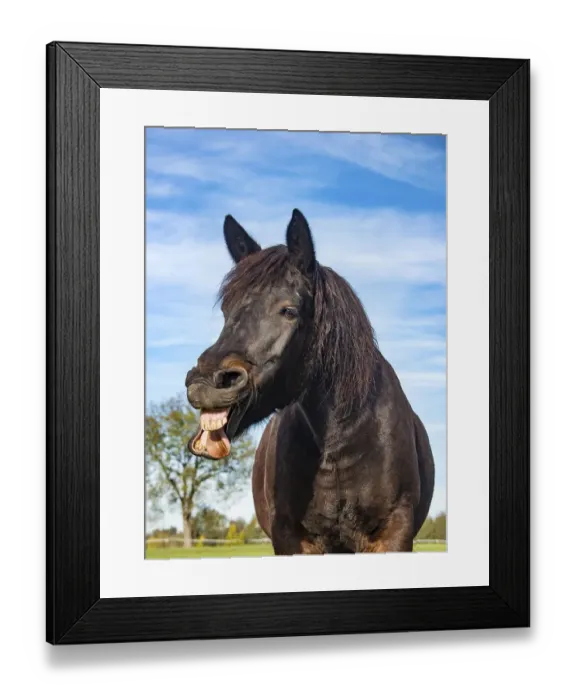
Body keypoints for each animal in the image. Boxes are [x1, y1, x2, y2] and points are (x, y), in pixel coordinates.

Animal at [185, 209, 435, 554]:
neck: (342, 444)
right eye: (226, 310)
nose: (206, 383)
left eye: (289, 310)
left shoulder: (393, 534)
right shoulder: (292, 538)